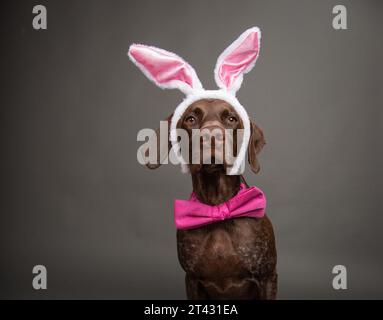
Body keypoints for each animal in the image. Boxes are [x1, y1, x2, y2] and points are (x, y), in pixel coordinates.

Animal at [148, 99, 278, 300]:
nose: (211, 136)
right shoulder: (192, 280)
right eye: (190, 119)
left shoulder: (268, 277)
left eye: (231, 119)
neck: (217, 204)